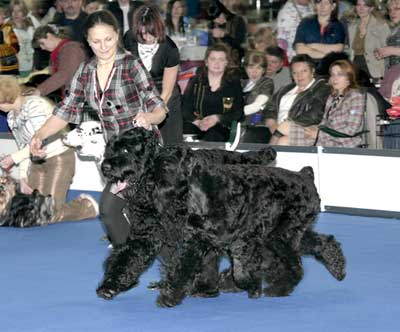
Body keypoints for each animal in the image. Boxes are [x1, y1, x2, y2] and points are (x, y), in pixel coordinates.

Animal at [96, 128, 344, 308]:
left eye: (126, 150)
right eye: (111, 147)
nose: (106, 165)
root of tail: (305, 175)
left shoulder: (198, 238)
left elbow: (186, 265)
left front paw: (178, 292)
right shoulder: (148, 234)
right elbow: (128, 257)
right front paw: (110, 285)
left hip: (277, 236)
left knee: (291, 260)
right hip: (279, 234)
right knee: (317, 242)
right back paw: (336, 265)